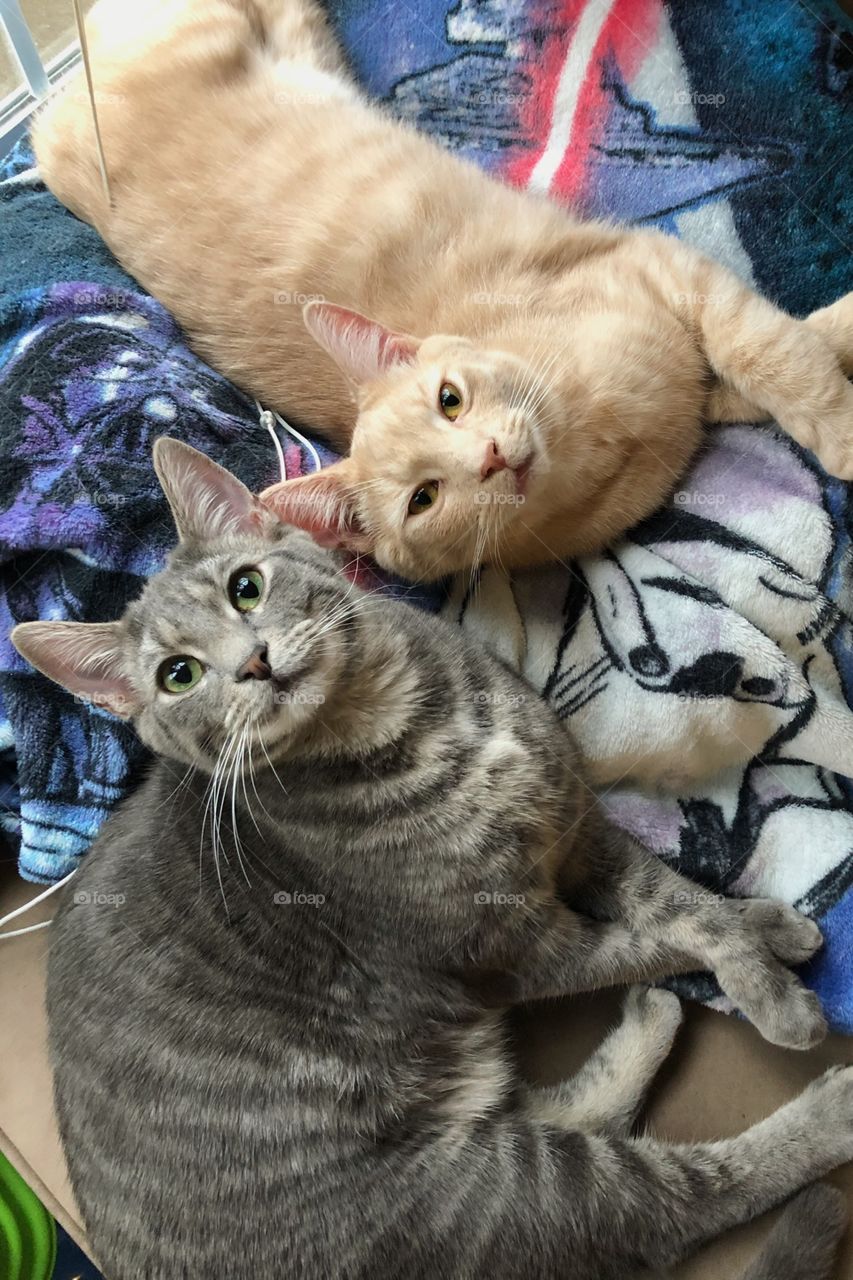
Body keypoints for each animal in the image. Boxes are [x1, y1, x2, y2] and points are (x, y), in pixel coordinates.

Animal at [11, 438, 853, 1279]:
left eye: (245, 588)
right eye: (178, 675)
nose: (252, 663)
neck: (410, 723)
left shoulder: (578, 823)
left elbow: (681, 904)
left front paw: (763, 929)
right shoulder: (521, 952)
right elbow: (645, 941)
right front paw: (774, 988)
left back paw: (657, 1016)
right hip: (479, 1192)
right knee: (679, 1198)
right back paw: (822, 1110)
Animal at [32, 0, 853, 582]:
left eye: (449, 399)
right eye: (423, 499)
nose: (489, 458)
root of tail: (45, 116)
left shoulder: (664, 271)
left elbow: (774, 351)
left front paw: (837, 417)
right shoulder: (688, 373)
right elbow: (759, 371)